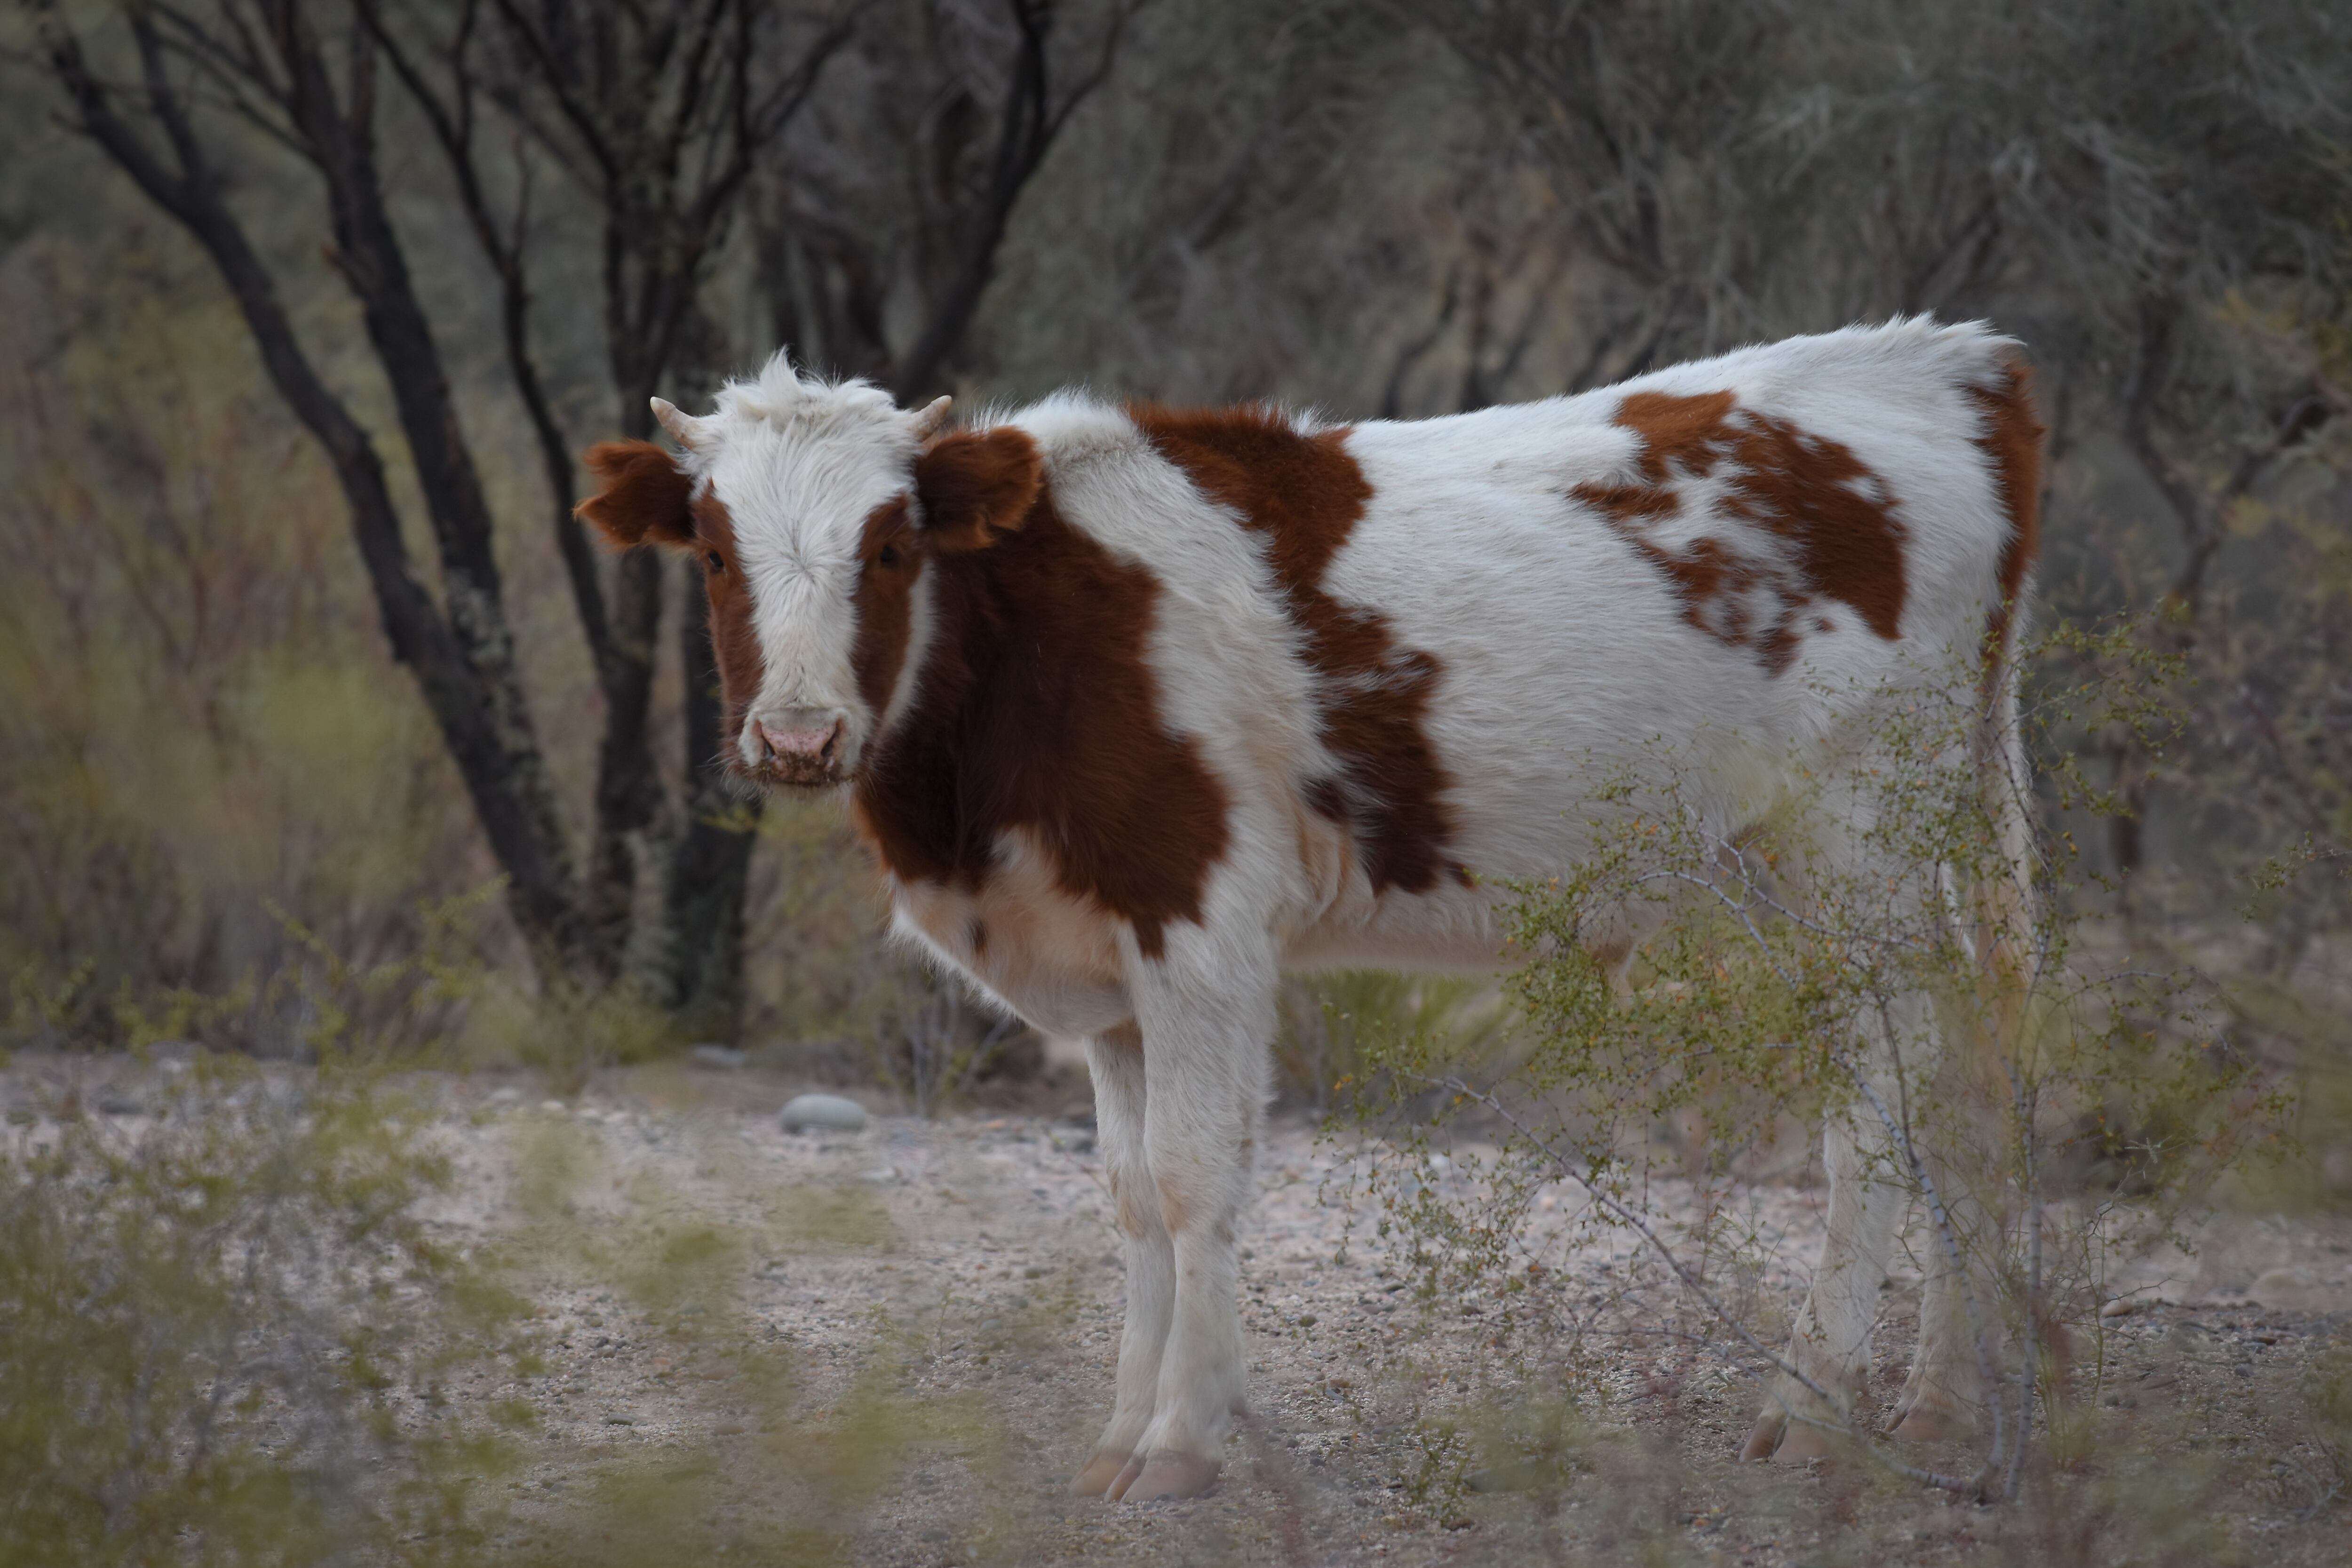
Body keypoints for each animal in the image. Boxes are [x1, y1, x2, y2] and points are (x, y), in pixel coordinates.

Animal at [579, 315, 2051, 1495]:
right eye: (711, 548)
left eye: (890, 546)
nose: (799, 736)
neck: (1035, 638)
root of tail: (1946, 360)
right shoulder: (1106, 971)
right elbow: (1130, 1199)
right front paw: (1119, 1437)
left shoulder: (1201, 929)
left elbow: (1195, 1178)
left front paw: (1183, 1447)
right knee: (1966, 1080)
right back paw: (1943, 1409)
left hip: (1858, 845)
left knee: (1883, 1106)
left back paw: (1815, 1411)